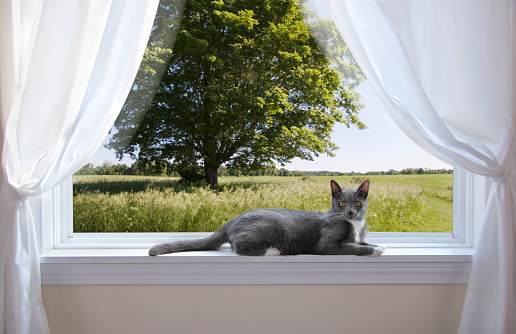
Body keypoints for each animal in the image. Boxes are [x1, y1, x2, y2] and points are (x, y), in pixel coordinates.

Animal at [148, 180, 382, 256]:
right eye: (342, 204)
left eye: (358, 204)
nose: (350, 212)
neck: (355, 225)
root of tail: (231, 221)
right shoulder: (327, 245)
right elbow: (351, 247)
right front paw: (373, 250)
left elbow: (361, 241)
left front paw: (377, 245)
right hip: (266, 228)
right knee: (240, 247)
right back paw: (274, 250)